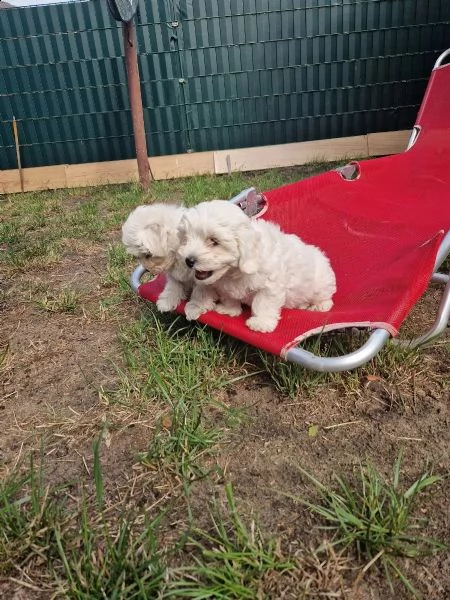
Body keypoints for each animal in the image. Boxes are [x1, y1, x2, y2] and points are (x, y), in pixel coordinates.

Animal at [178, 200, 336, 332]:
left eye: (214, 241)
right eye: (185, 239)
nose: (188, 260)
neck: (233, 272)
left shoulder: (270, 285)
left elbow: (263, 303)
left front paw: (261, 323)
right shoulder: (225, 286)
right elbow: (229, 296)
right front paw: (229, 310)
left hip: (321, 285)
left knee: (326, 297)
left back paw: (319, 306)